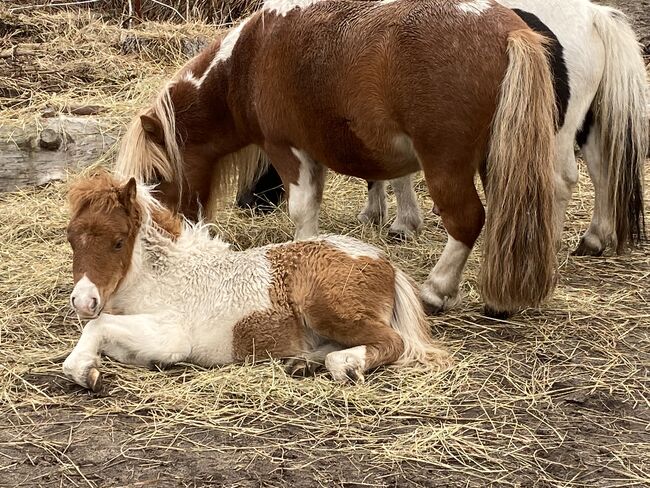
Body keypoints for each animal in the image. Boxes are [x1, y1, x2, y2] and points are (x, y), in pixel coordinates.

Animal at [63, 175, 448, 392]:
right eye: (70, 238)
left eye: (118, 242)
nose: (83, 300)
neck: (167, 276)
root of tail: (383, 261)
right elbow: (103, 334)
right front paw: (89, 368)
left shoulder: (171, 337)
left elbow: (98, 326)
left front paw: (86, 372)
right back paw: (303, 364)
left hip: (326, 309)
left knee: (392, 342)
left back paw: (346, 365)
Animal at [112, 0, 556, 314]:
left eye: (155, 177)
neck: (247, 60)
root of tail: (509, 30)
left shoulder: (289, 150)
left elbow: (302, 210)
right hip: (495, 160)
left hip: (447, 164)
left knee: (467, 220)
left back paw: (436, 290)